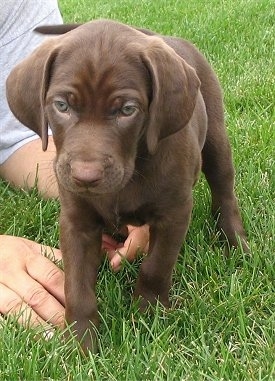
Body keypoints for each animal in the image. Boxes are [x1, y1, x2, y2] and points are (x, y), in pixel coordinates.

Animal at [5, 18, 249, 350]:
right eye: (61, 106)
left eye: (127, 110)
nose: (85, 176)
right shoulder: (77, 222)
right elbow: (77, 287)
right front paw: (80, 344)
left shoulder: (174, 213)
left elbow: (156, 267)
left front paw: (149, 315)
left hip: (215, 137)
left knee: (224, 190)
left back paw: (236, 242)